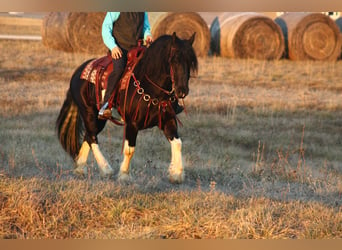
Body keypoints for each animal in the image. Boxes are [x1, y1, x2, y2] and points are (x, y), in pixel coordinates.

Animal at [54, 32, 196, 183]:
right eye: (174, 60)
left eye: (191, 62)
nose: (182, 91)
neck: (151, 87)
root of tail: (78, 72)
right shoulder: (132, 123)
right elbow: (129, 150)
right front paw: (124, 175)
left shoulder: (168, 120)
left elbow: (178, 143)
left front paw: (176, 174)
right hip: (88, 112)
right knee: (92, 136)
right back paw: (106, 169)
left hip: (99, 119)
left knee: (89, 135)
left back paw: (80, 168)